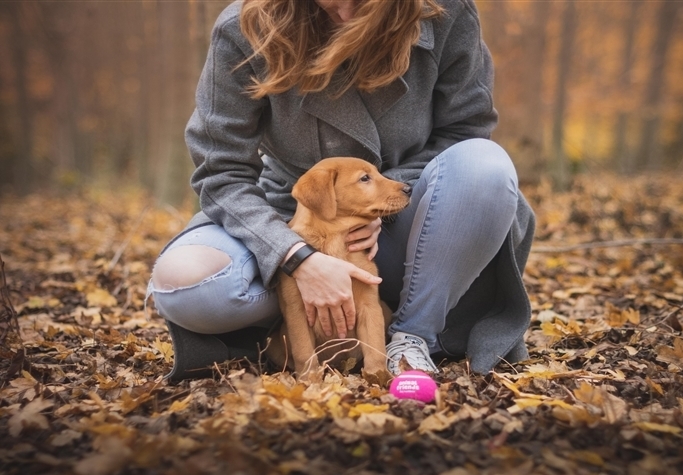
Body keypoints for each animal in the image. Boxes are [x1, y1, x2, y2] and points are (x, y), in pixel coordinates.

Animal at [270, 158, 412, 382]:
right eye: (365, 178)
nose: (409, 189)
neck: (334, 240)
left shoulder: (370, 306)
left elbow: (375, 347)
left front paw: (378, 378)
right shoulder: (297, 311)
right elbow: (304, 353)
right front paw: (310, 382)